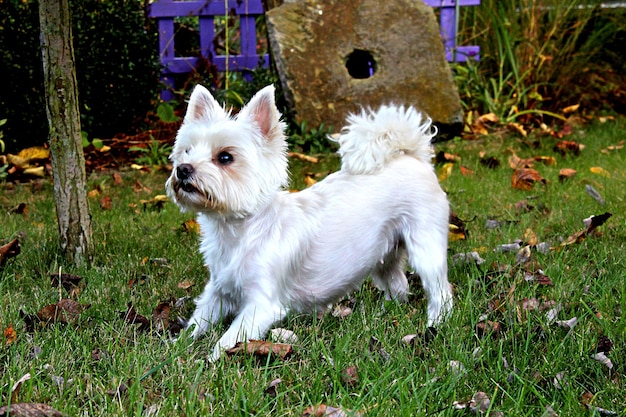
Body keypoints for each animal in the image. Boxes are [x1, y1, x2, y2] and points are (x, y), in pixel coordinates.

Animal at [163, 85, 450, 360]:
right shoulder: (218, 293)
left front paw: (210, 360)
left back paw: (437, 322)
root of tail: (411, 157)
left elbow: (229, 338)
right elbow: (197, 322)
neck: (237, 232)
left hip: (425, 247)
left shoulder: (260, 305)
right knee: (398, 284)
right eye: (186, 151)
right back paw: (384, 313)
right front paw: (178, 346)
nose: (183, 169)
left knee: (441, 291)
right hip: (385, 252)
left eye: (225, 157)